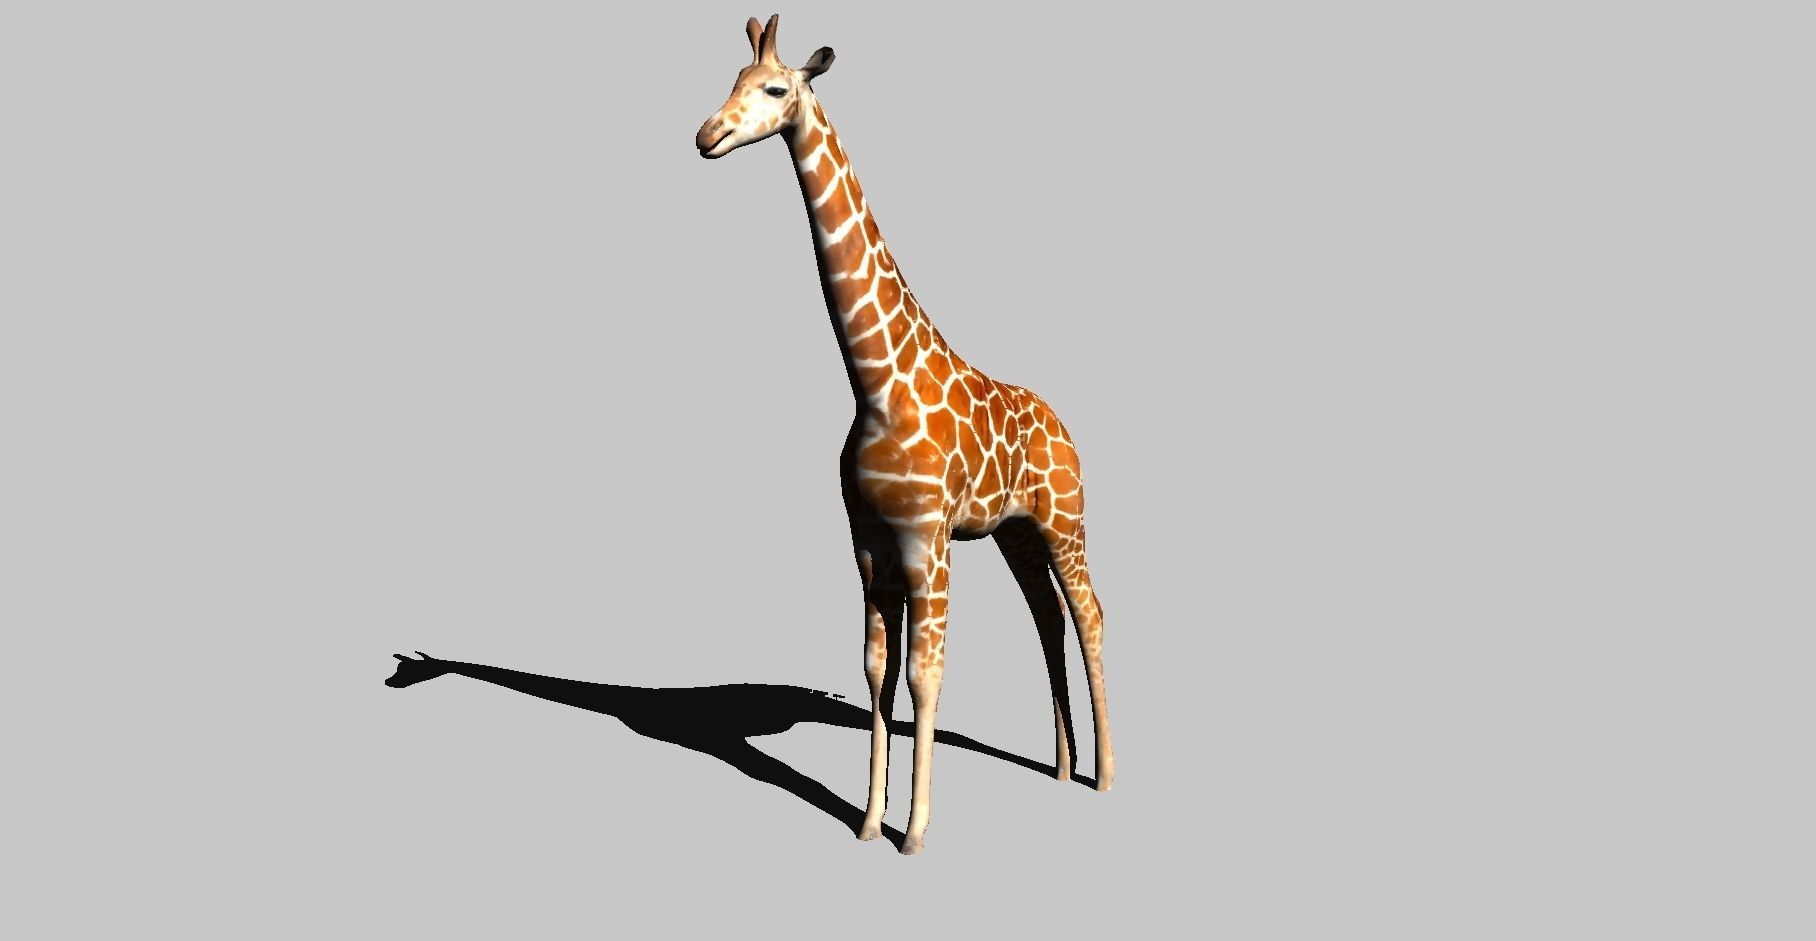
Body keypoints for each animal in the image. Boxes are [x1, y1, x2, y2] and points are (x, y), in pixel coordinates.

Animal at [694, 15, 1114, 855]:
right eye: (730, 81)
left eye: (775, 89)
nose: (706, 135)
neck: (873, 383)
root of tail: (1065, 426)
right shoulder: (867, 540)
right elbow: (874, 670)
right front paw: (865, 821)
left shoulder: (927, 539)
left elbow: (926, 673)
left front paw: (915, 832)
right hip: (1017, 532)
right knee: (1047, 617)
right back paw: (1059, 770)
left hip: (1066, 519)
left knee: (1090, 615)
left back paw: (1111, 777)